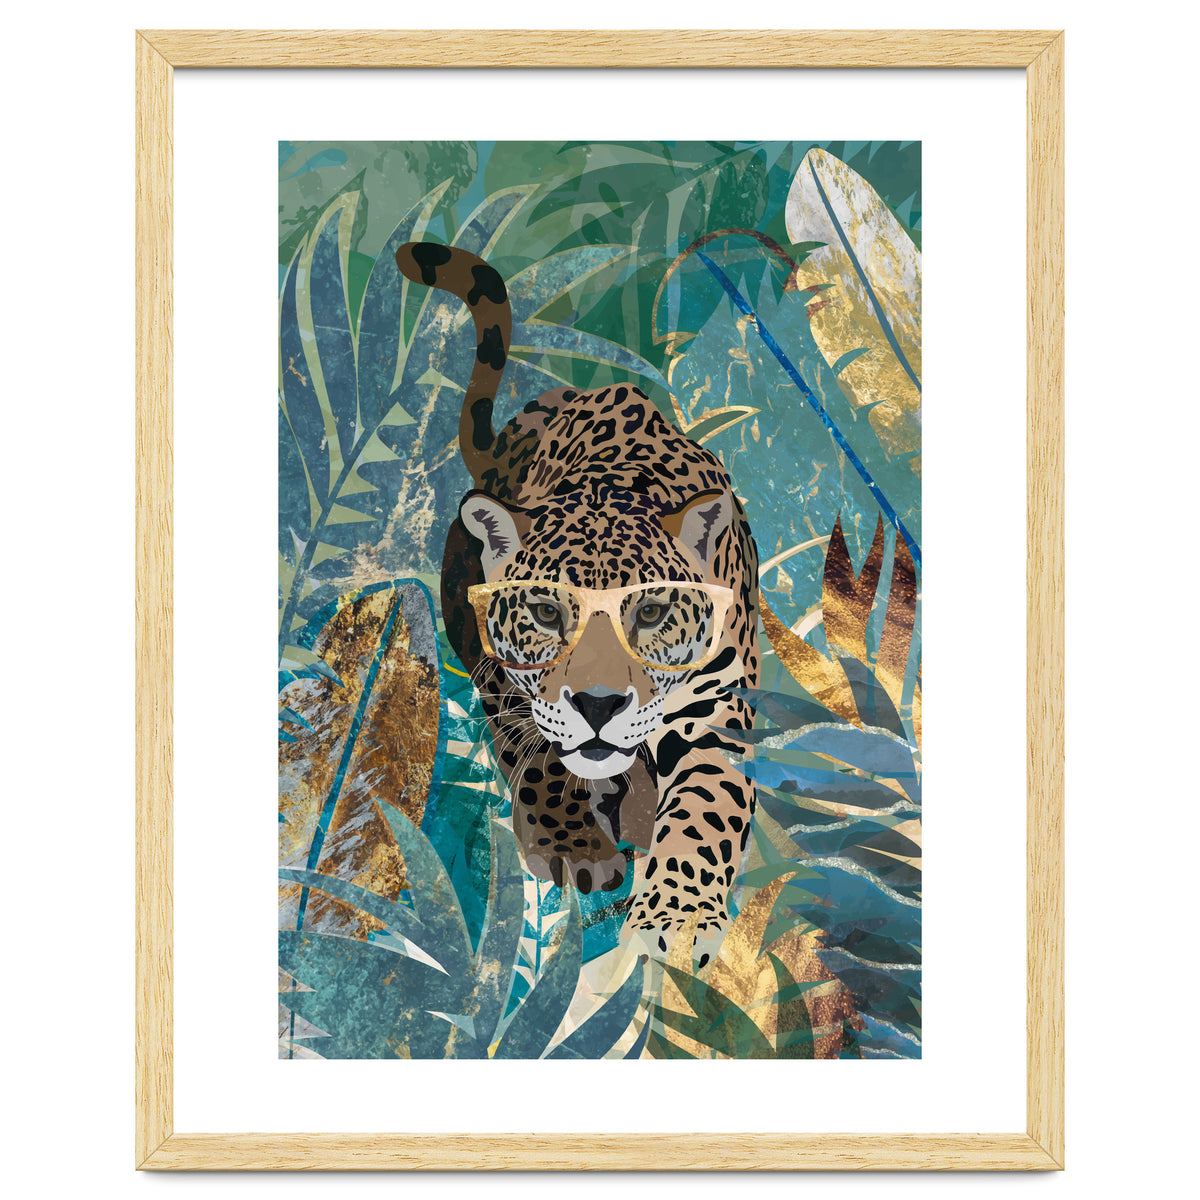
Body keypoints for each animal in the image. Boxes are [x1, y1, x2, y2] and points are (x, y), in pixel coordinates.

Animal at [395, 241, 760, 959]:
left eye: (650, 612)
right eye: (545, 613)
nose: (597, 705)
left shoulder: (716, 711)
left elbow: (706, 809)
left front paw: (675, 920)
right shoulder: (504, 676)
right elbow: (536, 754)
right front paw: (574, 846)